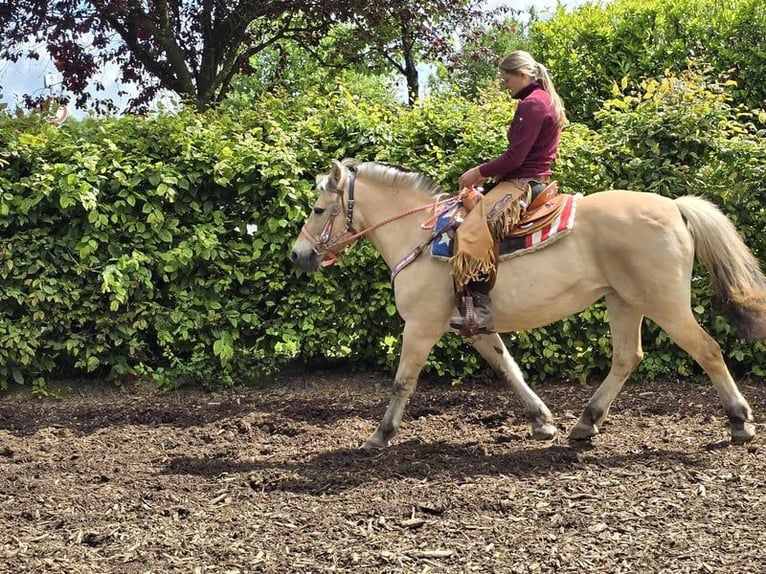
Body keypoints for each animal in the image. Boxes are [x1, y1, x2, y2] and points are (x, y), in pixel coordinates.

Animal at [290, 159, 766, 450]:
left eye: (318, 209)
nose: (298, 254)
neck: (419, 237)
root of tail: (676, 207)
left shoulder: (420, 327)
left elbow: (402, 382)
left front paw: (380, 434)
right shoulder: (476, 329)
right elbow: (509, 370)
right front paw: (542, 420)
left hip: (665, 304)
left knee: (707, 350)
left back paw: (740, 421)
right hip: (623, 301)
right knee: (627, 357)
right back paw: (586, 422)